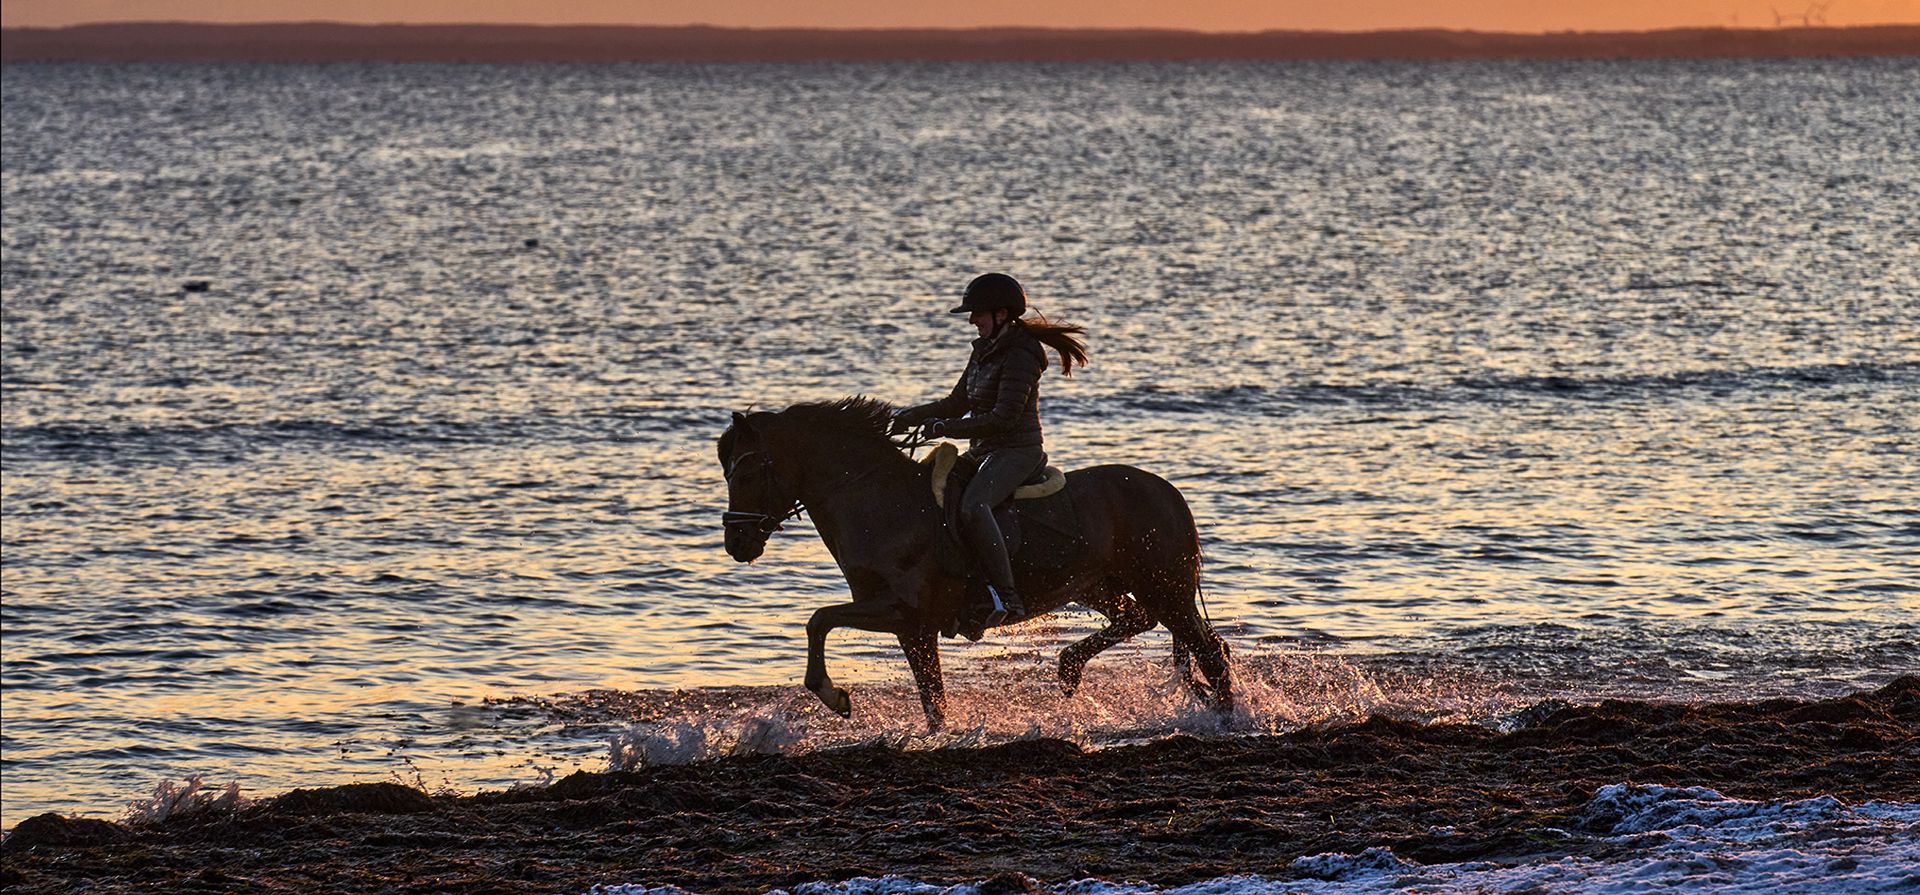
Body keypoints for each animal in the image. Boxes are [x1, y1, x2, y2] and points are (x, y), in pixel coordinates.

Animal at [718, 396, 1233, 731]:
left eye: (745, 473)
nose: (736, 543)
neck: (880, 502)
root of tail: (1168, 492)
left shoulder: (903, 610)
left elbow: (818, 620)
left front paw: (835, 696)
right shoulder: (911, 628)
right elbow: (933, 701)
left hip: (1165, 587)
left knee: (1209, 651)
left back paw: (1229, 718)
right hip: (1101, 585)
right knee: (1139, 620)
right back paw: (1069, 668)